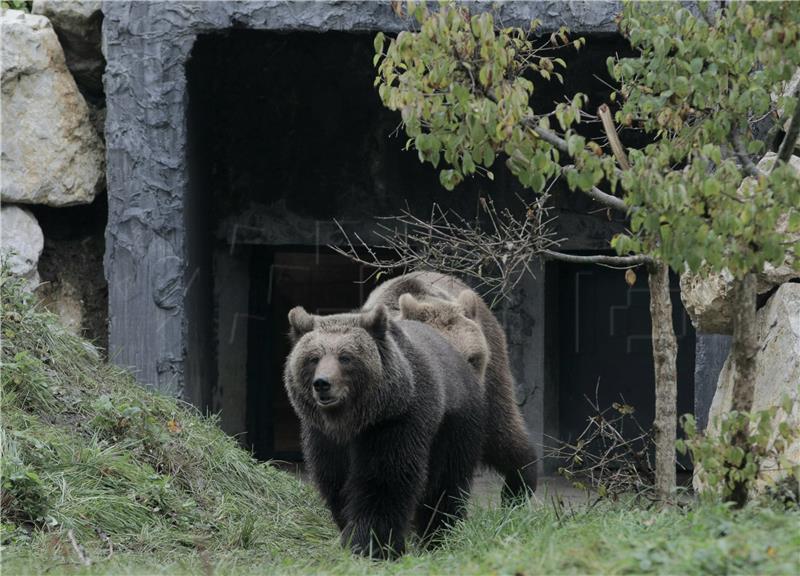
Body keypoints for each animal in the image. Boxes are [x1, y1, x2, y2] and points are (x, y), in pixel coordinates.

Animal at [288, 304, 488, 556]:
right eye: (313, 358)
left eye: (345, 357)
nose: (322, 383)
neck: (352, 423)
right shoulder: (323, 437)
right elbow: (336, 482)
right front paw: (352, 534)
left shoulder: (396, 423)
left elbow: (384, 481)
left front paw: (372, 544)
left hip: (455, 427)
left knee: (446, 485)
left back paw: (438, 536)